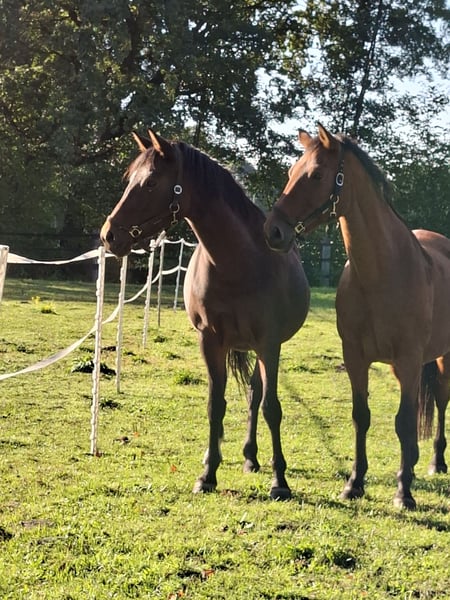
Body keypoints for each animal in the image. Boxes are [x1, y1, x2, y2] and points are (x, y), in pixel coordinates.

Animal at [100, 130, 310, 499]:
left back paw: (251, 457)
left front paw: (280, 481)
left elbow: (271, 407)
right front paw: (208, 474)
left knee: (255, 396)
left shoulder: (269, 344)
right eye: (130, 179)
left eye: (151, 182)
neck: (239, 263)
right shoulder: (210, 341)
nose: (109, 235)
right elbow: (215, 405)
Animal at [264, 123, 450, 509]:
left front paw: (404, 492)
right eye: (290, 173)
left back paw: (436, 462)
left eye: (317, 174)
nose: (273, 230)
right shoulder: (356, 357)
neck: (382, 273)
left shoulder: (410, 358)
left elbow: (404, 421)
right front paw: (355, 483)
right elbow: (361, 417)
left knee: (441, 399)